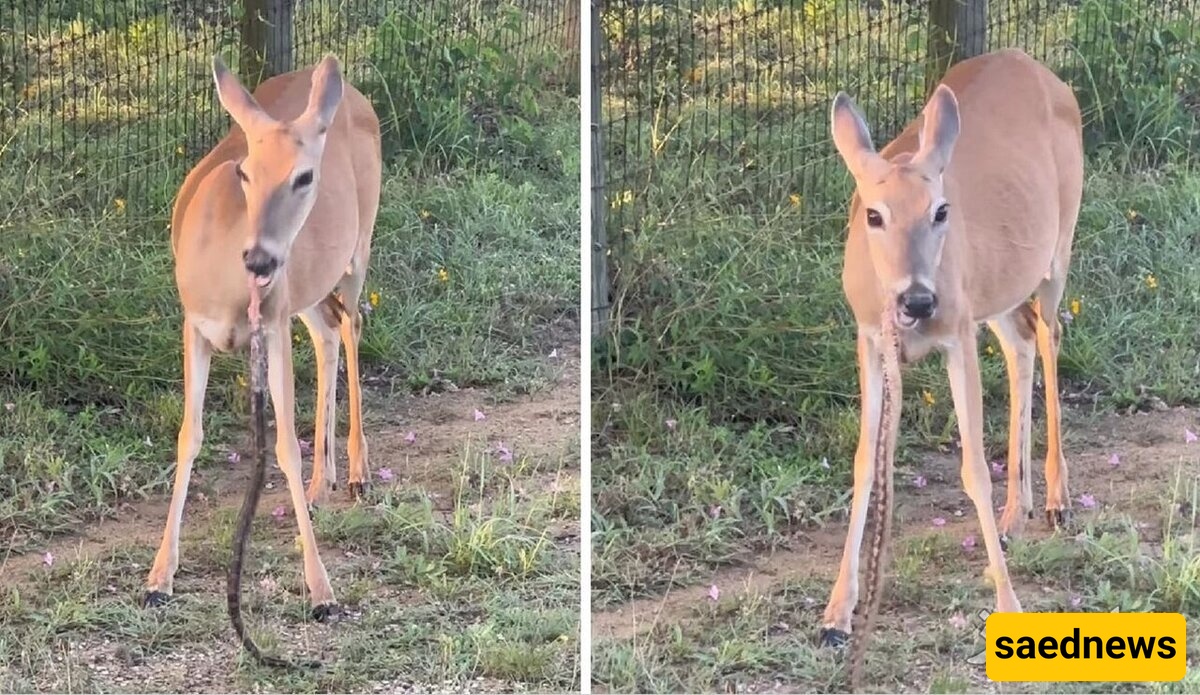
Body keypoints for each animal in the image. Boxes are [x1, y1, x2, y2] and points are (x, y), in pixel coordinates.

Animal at [142, 54, 382, 627]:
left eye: (305, 175)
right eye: (245, 171)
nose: (259, 258)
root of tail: (351, 94)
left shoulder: (270, 326)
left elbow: (284, 445)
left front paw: (321, 591)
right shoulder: (194, 324)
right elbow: (189, 435)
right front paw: (159, 577)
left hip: (357, 245)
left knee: (352, 323)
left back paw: (357, 473)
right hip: (304, 287)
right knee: (329, 329)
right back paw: (322, 484)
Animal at [819, 48, 1083, 654]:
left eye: (941, 210)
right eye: (873, 214)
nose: (918, 299)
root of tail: (1040, 68)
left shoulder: (957, 332)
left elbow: (972, 469)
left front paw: (1009, 602)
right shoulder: (870, 338)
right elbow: (865, 463)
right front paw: (836, 613)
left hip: (1056, 247)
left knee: (1050, 333)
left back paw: (1055, 500)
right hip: (998, 288)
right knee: (1022, 340)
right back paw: (1014, 516)